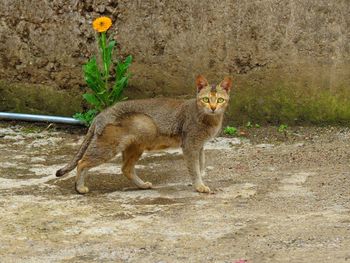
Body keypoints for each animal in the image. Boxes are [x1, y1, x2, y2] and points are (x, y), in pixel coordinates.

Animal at [55, 75, 232, 195]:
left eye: (220, 100)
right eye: (206, 99)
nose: (213, 108)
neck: (209, 118)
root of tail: (100, 115)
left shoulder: (199, 146)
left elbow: (200, 165)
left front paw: (199, 181)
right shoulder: (190, 145)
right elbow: (194, 168)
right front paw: (199, 186)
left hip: (135, 147)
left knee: (126, 168)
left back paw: (142, 185)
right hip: (109, 147)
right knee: (82, 163)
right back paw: (79, 188)